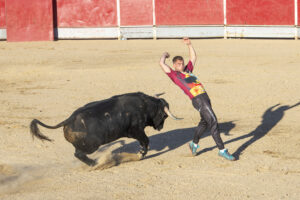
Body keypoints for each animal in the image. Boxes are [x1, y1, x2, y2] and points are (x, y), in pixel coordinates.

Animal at [30, 92, 182, 166]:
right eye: (164, 116)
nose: (160, 127)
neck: (145, 105)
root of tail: (68, 120)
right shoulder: (136, 131)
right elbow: (145, 141)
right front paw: (140, 155)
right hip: (91, 146)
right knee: (78, 154)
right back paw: (95, 163)